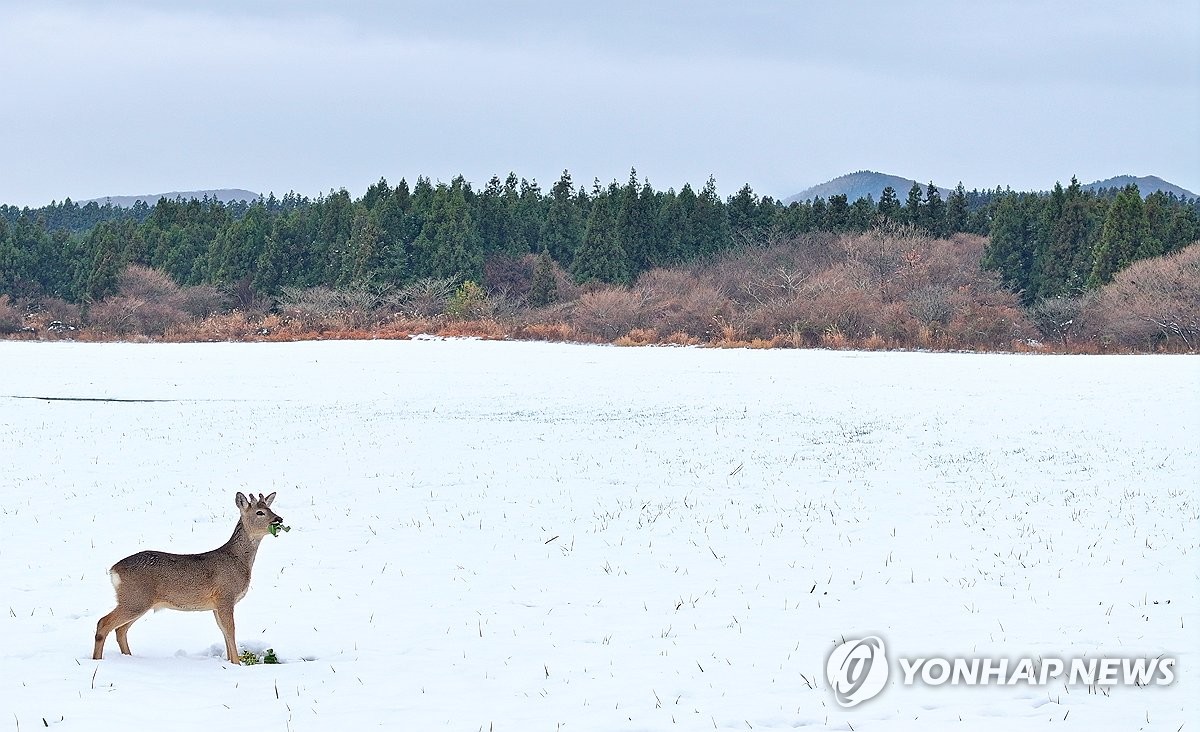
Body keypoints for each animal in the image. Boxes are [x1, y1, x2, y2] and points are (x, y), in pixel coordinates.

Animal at [94, 489, 285, 662]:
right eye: (260, 512)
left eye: (270, 508)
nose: (279, 519)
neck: (237, 559)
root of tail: (114, 570)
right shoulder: (225, 596)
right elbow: (231, 631)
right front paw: (237, 664)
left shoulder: (216, 605)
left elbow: (223, 632)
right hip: (136, 599)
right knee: (103, 623)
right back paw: (98, 660)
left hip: (137, 600)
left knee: (120, 630)